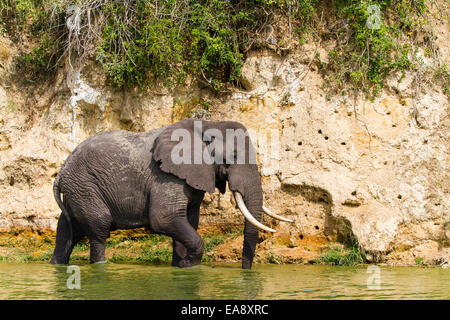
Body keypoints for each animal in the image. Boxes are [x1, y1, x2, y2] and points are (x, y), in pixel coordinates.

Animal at [50, 119, 292, 268]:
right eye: (232, 157)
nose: (245, 270)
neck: (206, 125)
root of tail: (60, 173)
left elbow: (189, 220)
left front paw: (182, 267)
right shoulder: (167, 176)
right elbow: (165, 219)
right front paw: (189, 265)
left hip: (77, 192)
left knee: (67, 231)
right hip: (85, 187)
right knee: (99, 230)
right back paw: (100, 266)